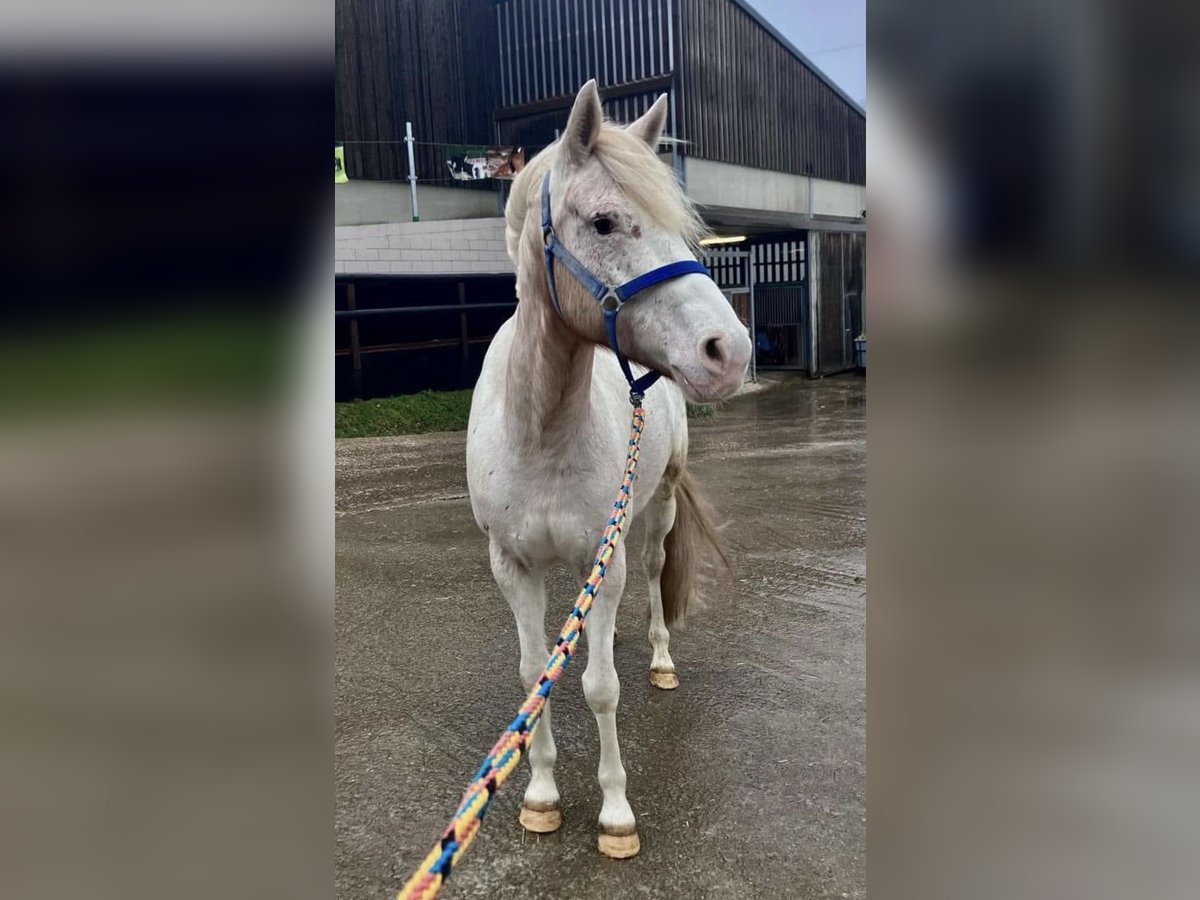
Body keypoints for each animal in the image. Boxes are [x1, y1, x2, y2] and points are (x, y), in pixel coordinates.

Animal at [465, 82, 748, 859]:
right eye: (604, 221)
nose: (731, 351)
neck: (541, 432)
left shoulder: (607, 553)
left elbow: (600, 688)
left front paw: (616, 813)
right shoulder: (510, 566)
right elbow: (535, 674)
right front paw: (540, 795)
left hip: (655, 512)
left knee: (651, 579)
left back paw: (658, 659)